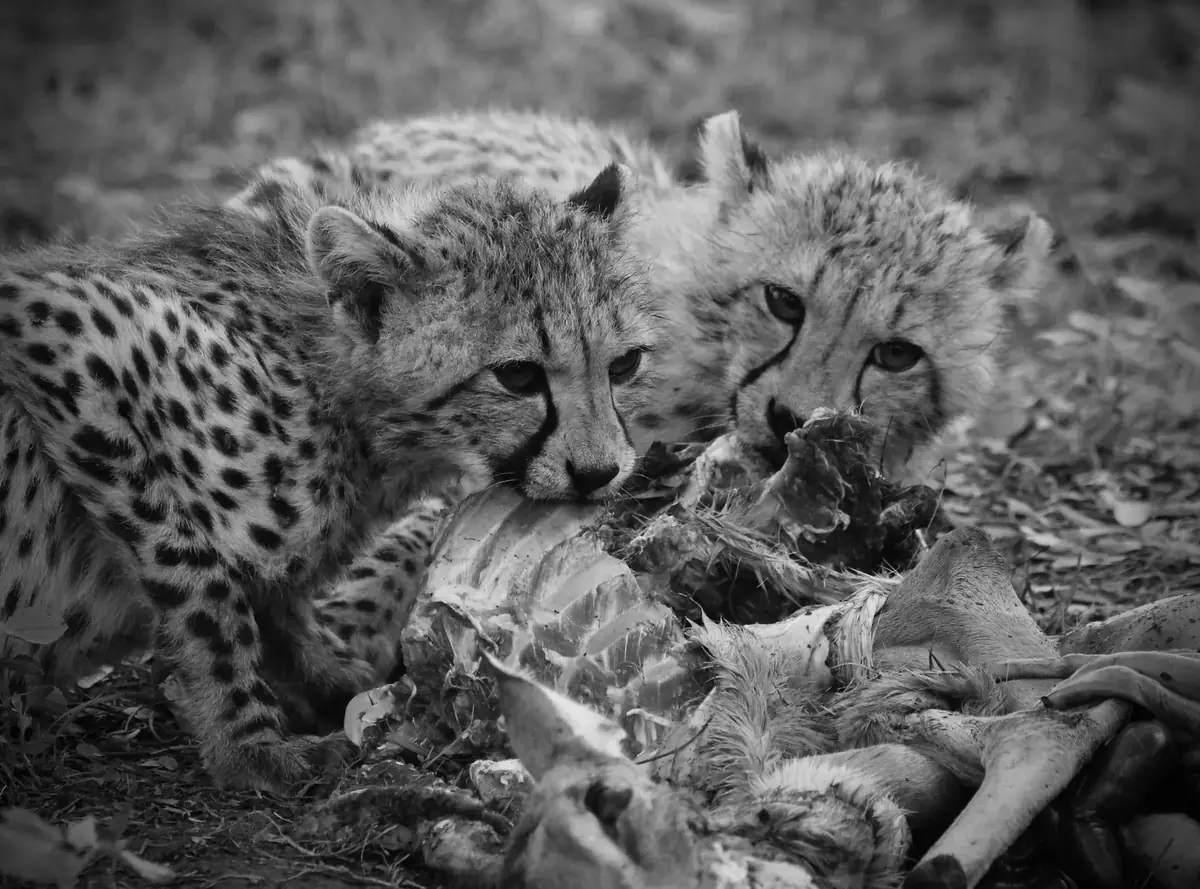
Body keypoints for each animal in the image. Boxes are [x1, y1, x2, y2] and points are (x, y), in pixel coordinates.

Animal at [0, 160, 667, 791]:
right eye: (519, 376)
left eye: (624, 364)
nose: (599, 472)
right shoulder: (65, 325)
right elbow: (202, 586)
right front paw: (247, 744)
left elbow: (275, 595)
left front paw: (329, 678)